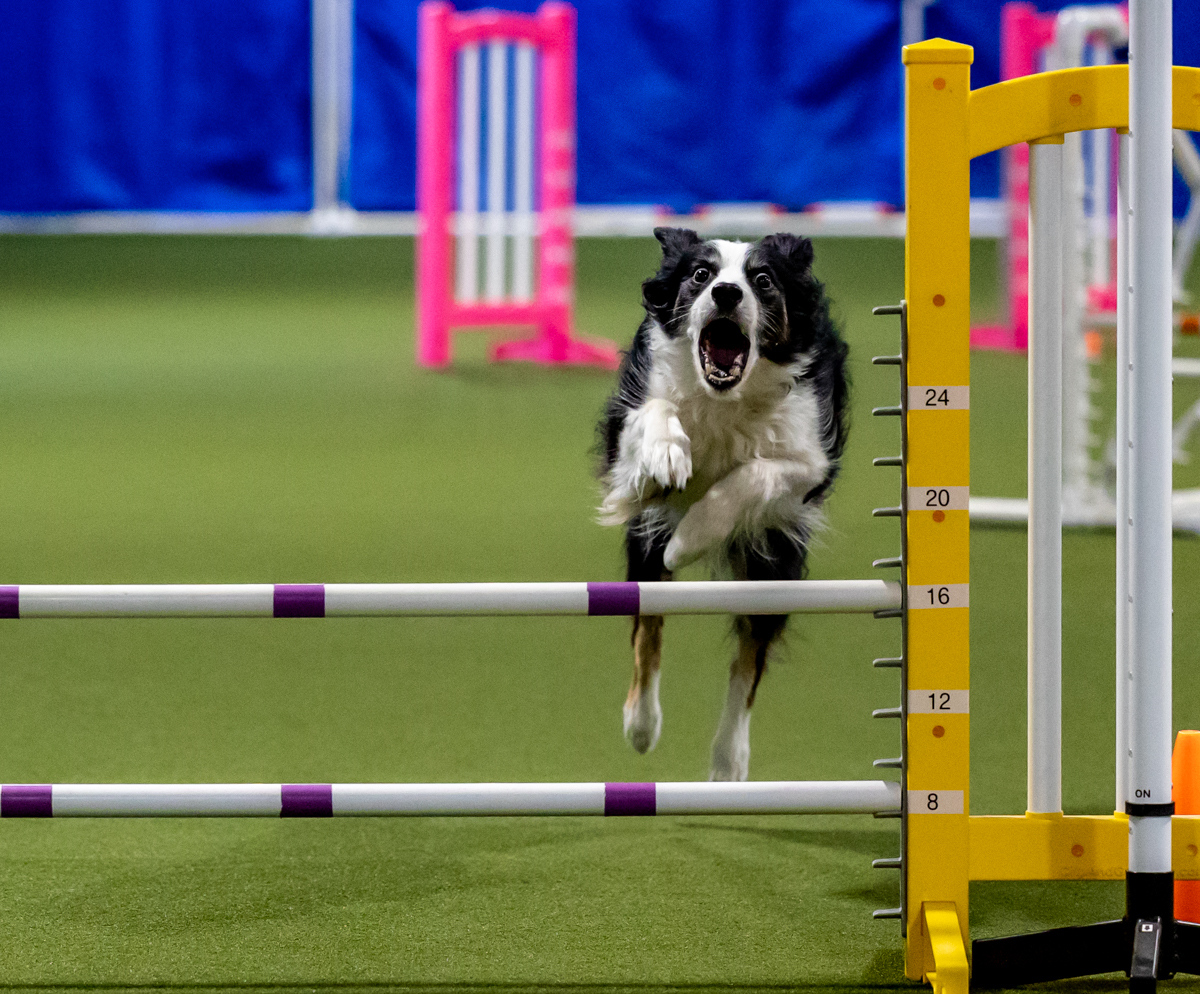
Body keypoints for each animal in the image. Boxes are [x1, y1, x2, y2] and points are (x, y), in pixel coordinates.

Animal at [597, 228, 849, 781]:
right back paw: (641, 724)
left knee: (748, 661)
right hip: (644, 553)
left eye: (763, 279)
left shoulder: (810, 463)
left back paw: (728, 762)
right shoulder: (626, 443)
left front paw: (693, 535)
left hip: (774, 569)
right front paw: (668, 455)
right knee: (648, 623)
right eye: (700, 274)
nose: (728, 294)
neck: (723, 399)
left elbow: (754, 473)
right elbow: (656, 413)